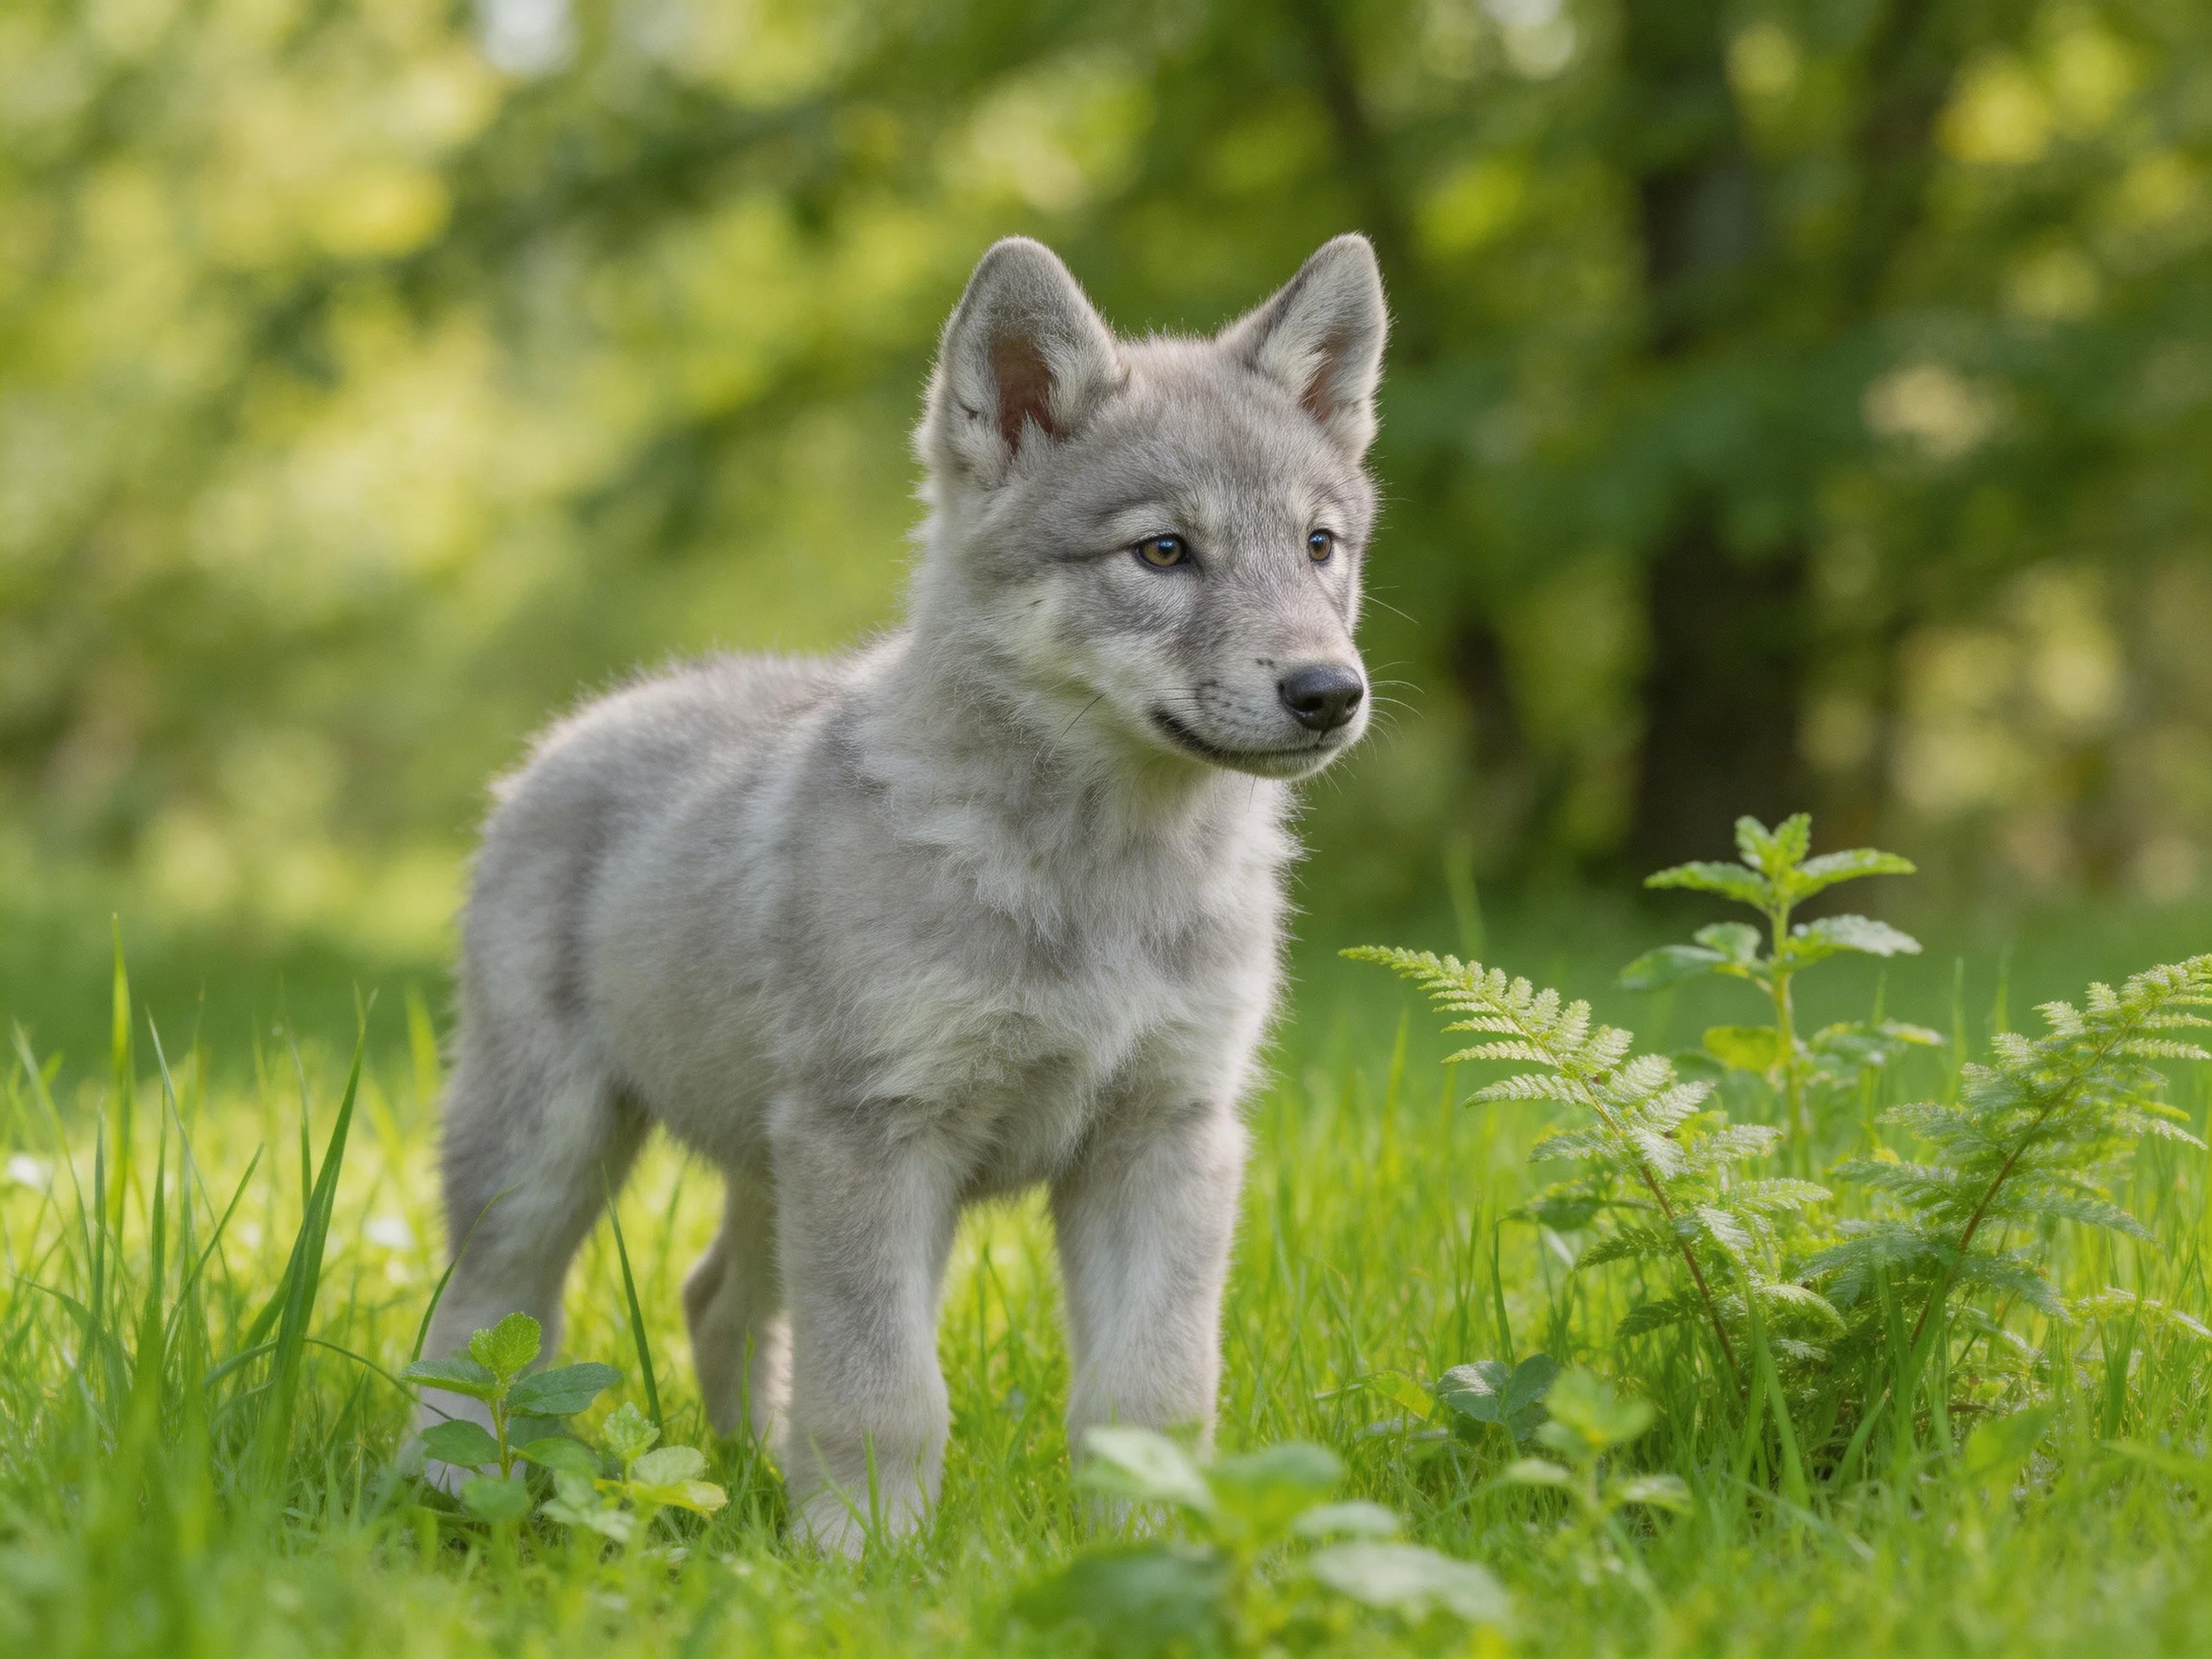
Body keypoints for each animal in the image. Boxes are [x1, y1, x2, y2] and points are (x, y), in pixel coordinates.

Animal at [414, 233, 1387, 1552]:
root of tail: (580, 727)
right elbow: (882, 1392)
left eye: (1319, 546)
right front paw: (863, 1562)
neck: (1098, 886)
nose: (1328, 692)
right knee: (477, 1315)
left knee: (716, 1298)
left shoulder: (1165, 1139)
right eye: (1163, 551)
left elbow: (1152, 1390)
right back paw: (450, 1490)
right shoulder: (876, 1136)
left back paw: (742, 1469)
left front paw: (1157, 1553)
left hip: (770, 1168)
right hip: (553, 1148)